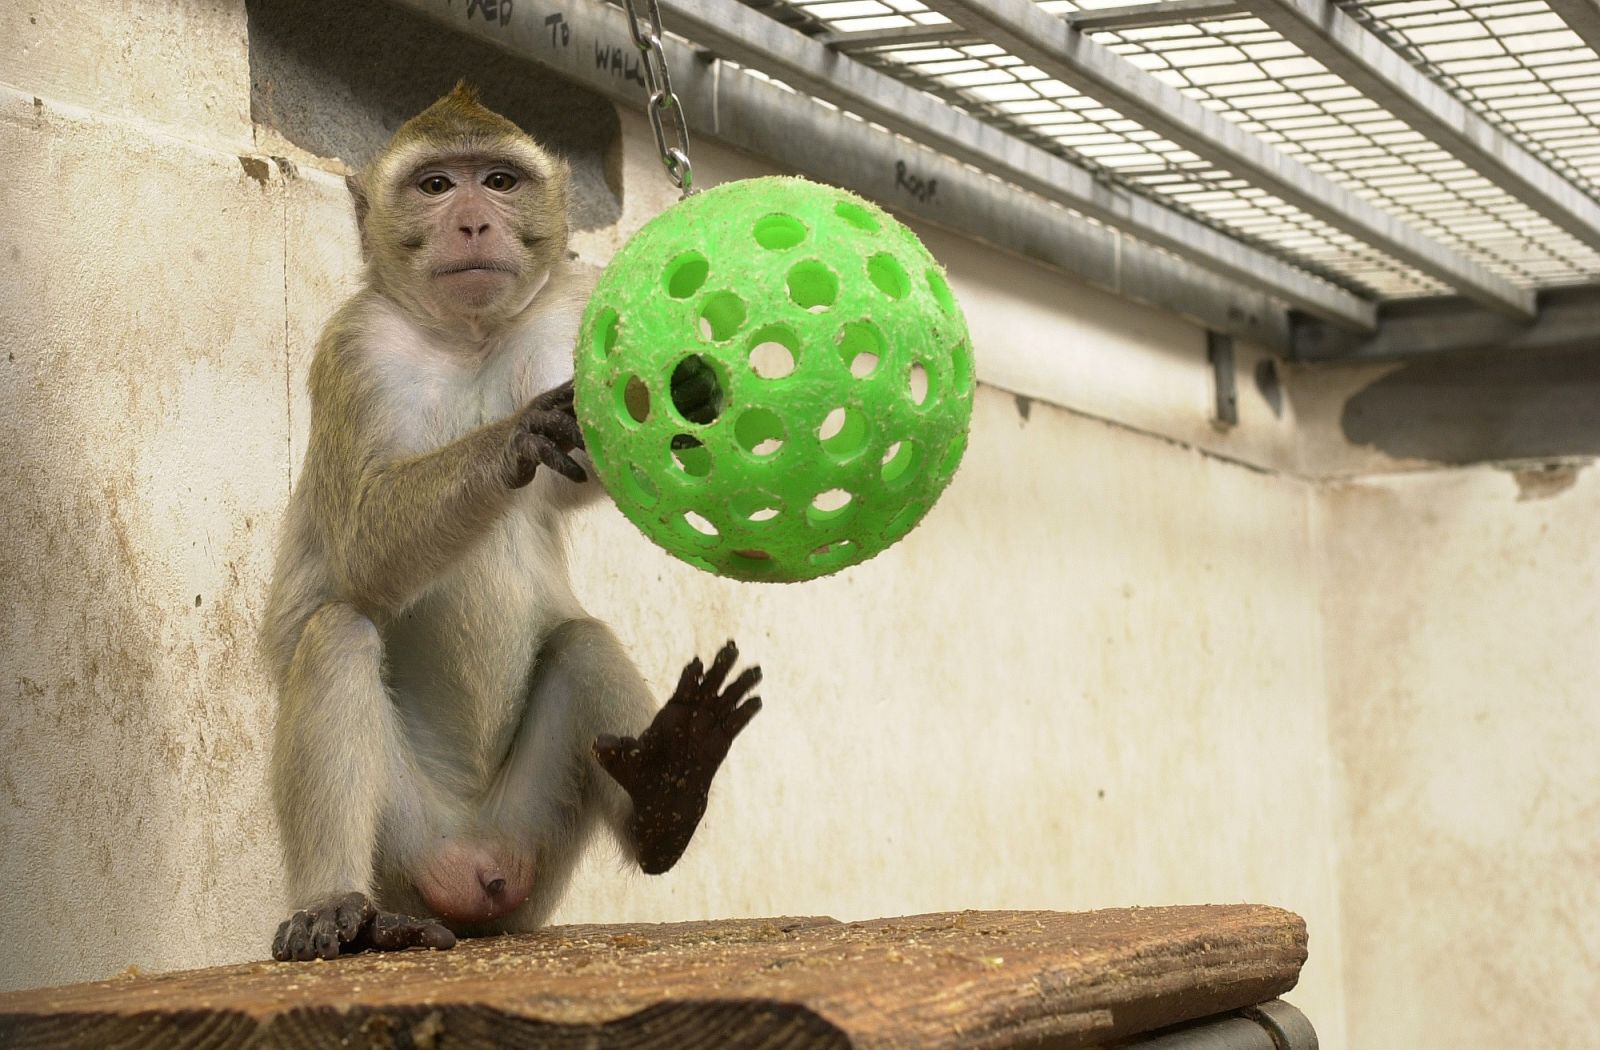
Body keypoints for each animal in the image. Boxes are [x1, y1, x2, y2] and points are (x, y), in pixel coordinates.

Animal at [260, 84, 761, 960]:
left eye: (498, 180)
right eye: (435, 186)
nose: (471, 224)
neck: (465, 338)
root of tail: (475, 867)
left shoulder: (562, 323)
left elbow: (615, 461)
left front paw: (690, 396)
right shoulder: (355, 351)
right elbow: (359, 547)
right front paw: (516, 437)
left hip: (536, 831)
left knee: (582, 643)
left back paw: (667, 792)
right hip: (408, 845)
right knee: (337, 634)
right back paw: (338, 909)